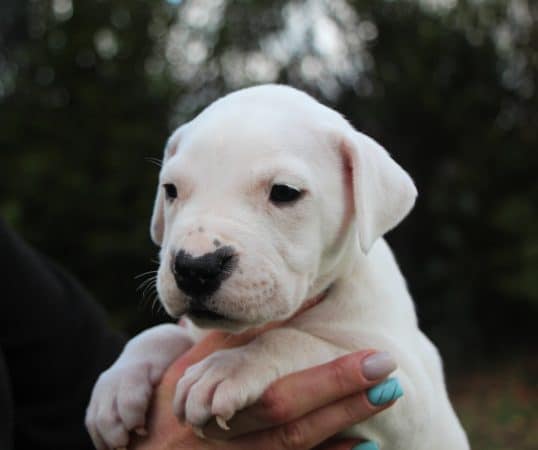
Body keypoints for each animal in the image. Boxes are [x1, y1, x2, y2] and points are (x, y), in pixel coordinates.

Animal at [85, 83, 468, 446]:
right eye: (171, 190)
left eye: (284, 192)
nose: (195, 268)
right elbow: (160, 334)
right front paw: (116, 386)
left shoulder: (410, 393)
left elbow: (301, 340)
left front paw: (232, 367)